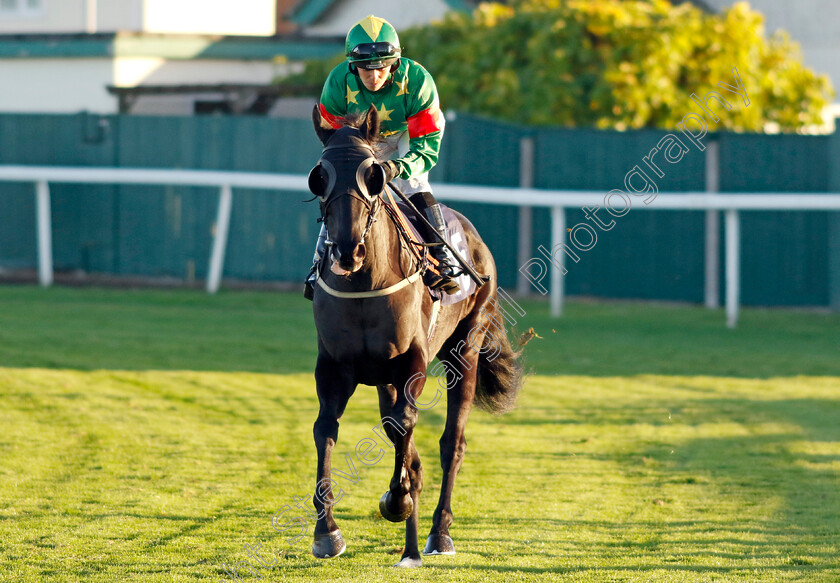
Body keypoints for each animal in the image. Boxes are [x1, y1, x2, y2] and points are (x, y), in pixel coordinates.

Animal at [306, 102, 520, 568]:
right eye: (319, 176)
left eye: (374, 176)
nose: (347, 250)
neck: (365, 283)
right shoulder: (334, 366)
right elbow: (326, 428)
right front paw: (327, 531)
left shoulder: (412, 362)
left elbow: (406, 424)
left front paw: (398, 500)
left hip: (465, 349)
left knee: (451, 443)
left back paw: (438, 534)